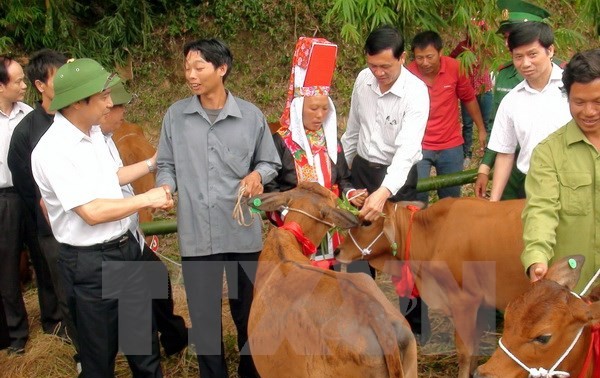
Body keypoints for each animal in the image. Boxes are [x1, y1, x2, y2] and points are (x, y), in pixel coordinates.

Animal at [338, 196, 528, 378]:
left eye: (367, 222)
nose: (338, 251)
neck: (434, 235)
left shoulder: (464, 301)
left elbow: (465, 351)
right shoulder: (479, 304)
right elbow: (475, 345)